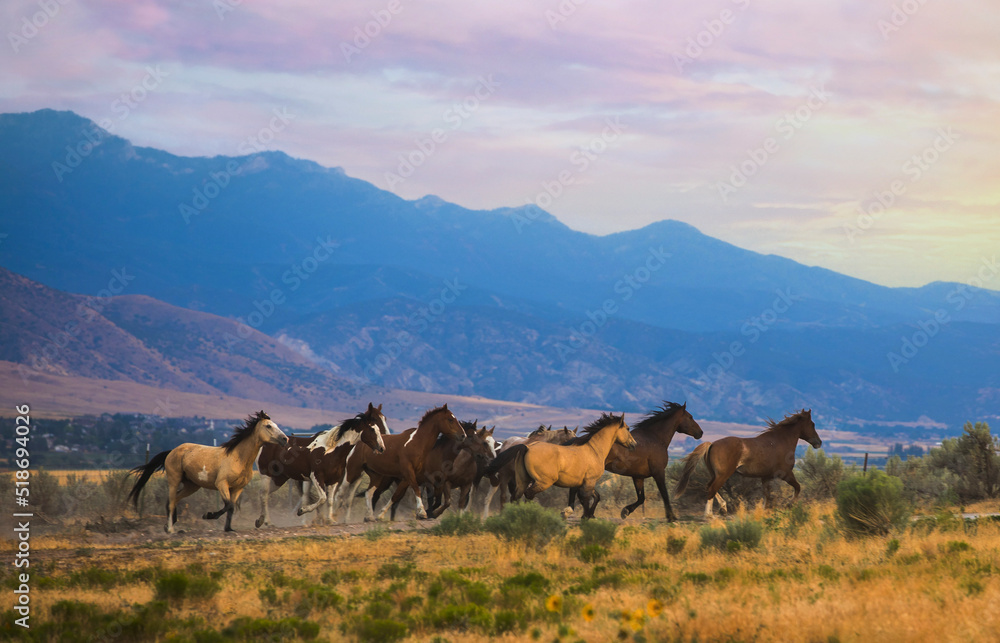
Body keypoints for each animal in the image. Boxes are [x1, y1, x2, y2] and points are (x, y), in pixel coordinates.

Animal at [127, 412, 288, 532]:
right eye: (268, 426)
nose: (285, 439)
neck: (238, 458)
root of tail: (172, 451)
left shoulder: (238, 488)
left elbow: (231, 507)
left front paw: (229, 529)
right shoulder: (221, 484)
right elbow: (228, 505)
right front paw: (208, 515)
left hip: (191, 485)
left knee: (174, 499)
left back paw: (170, 525)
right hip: (174, 480)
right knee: (171, 501)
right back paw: (171, 529)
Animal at [254, 402, 386, 528]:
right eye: (372, 429)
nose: (382, 448)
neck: (331, 450)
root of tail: (264, 443)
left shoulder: (333, 480)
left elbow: (330, 500)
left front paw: (330, 520)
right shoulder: (317, 477)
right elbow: (322, 498)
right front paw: (302, 511)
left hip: (279, 479)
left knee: (263, 494)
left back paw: (261, 521)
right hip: (266, 474)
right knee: (264, 495)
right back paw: (267, 522)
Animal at [332, 408, 464, 524]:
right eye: (450, 419)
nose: (463, 435)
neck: (416, 443)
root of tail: (357, 443)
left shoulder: (407, 477)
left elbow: (397, 495)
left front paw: (380, 515)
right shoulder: (410, 473)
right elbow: (416, 490)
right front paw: (422, 513)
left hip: (376, 475)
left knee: (369, 493)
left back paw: (369, 517)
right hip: (352, 471)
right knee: (340, 493)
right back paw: (333, 517)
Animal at [568, 402, 708, 524]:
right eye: (690, 417)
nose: (700, 432)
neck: (655, 438)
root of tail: (578, 440)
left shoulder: (638, 477)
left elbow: (641, 498)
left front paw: (625, 511)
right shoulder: (658, 473)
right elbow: (664, 494)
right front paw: (671, 517)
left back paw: (584, 514)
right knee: (578, 491)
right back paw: (579, 513)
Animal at [676, 408, 824, 520]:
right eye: (812, 424)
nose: (819, 442)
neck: (780, 441)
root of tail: (711, 444)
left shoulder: (765, 477)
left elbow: (767, 496)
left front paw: (765, 511)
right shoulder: (786, 474)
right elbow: (798, 487)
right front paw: (789, 504)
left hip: (715, 474)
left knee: (709, 487)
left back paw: (722, 508)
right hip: (723, 475)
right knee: (712, 489)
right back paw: (709, 515)